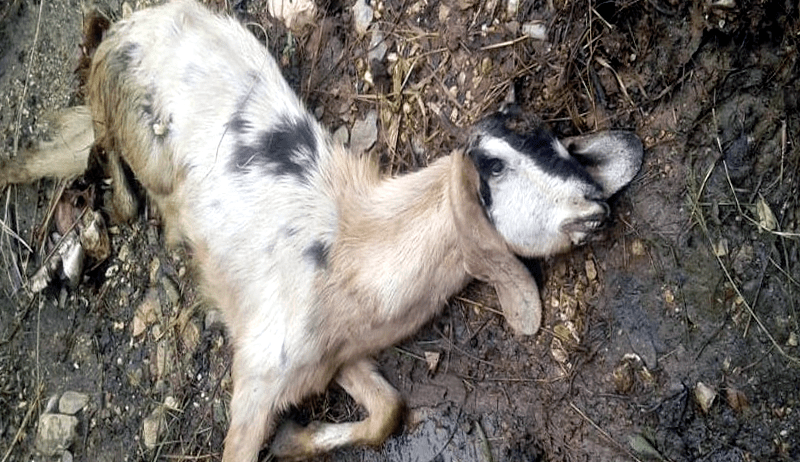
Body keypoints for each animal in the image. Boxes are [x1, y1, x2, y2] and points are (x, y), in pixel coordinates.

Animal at [0, 0, 643, 460]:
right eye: (497, 165)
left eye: (556, 142)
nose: (596, 206)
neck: (354, 249)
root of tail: (125, 29)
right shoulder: (259, 370)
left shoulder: (339, 357)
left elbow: (389, 411)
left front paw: (292, 441)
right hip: (130, 123)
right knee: (109, 158)